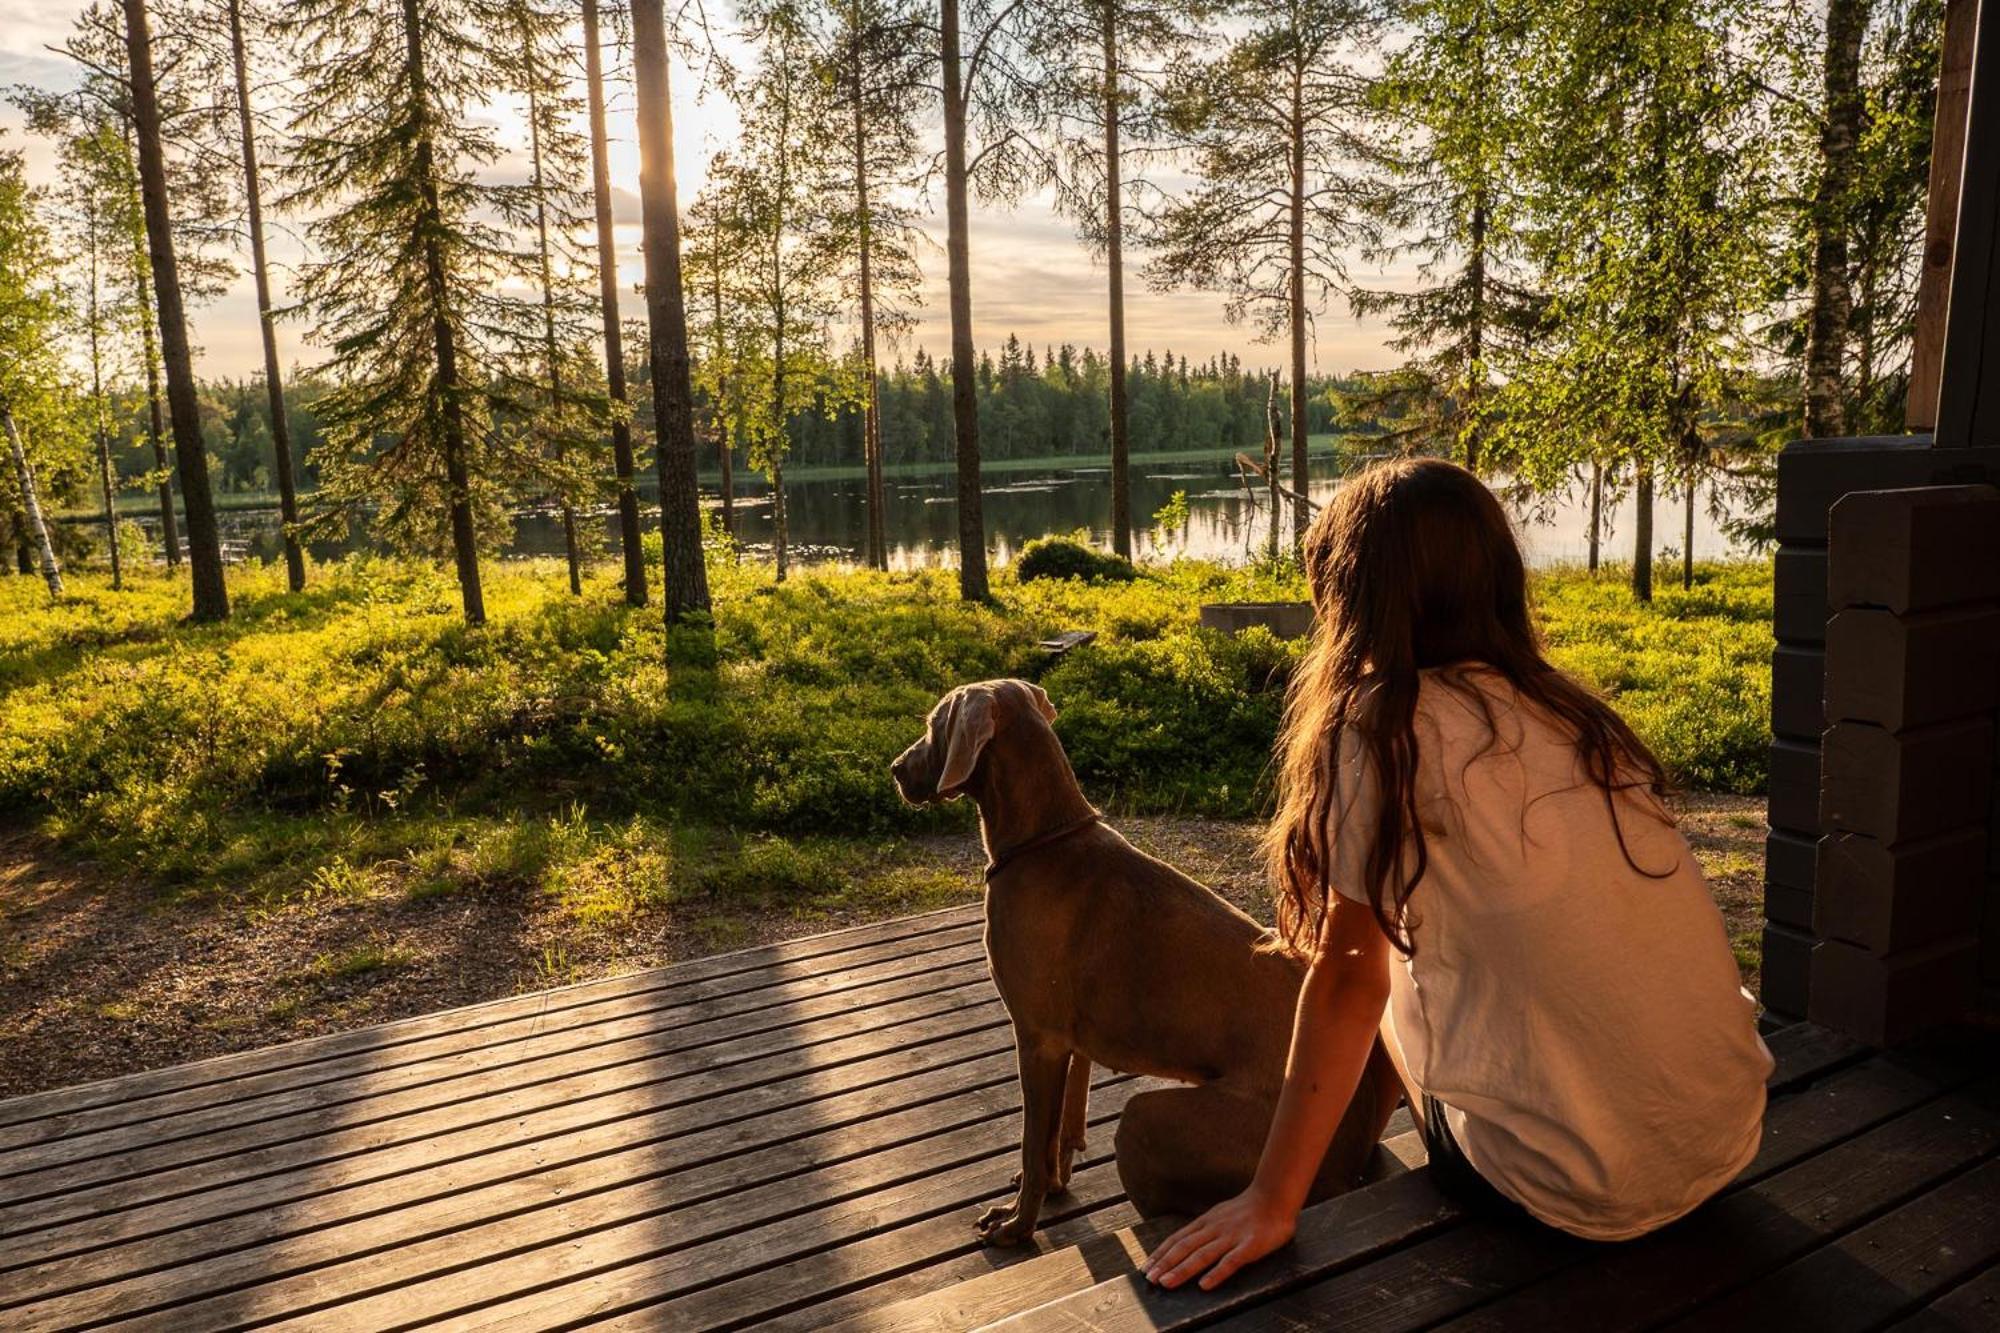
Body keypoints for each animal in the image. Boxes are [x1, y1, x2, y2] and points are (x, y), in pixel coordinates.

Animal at [892, 680, 1392, 1240]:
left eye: (932, 725)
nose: (895, 769)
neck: (1044, 841)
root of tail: (1351, 1157)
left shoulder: (1037, 1037)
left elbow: (1030, 1140)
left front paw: (1017, 1222)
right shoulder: (1070, 1042)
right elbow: (1061, 1127)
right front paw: (1056, 1182)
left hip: (1145, 1122)